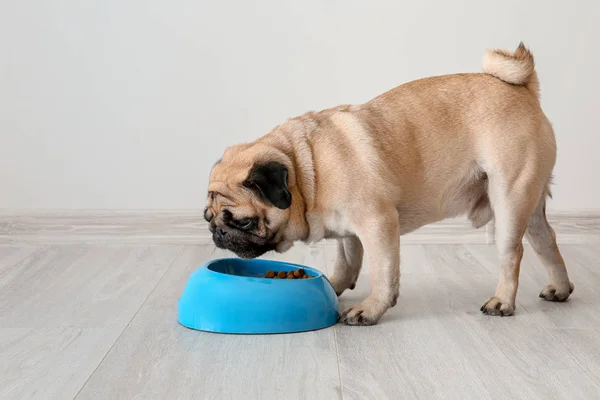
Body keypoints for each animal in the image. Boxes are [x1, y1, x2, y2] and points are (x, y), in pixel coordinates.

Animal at [204, 43, 576, 324]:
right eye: (209, 217)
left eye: (242, 221)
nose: (218, 233)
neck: (306, 166)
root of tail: (523, 89)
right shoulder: (348, 231)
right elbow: (347, 262)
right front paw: (332, 286)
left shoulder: (377, 223)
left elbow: (384, 272)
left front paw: (370, 310)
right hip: (530, 202)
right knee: (547, 241)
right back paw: (560, 288)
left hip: (510, 196)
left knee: (513, 253)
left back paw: (502, 301)